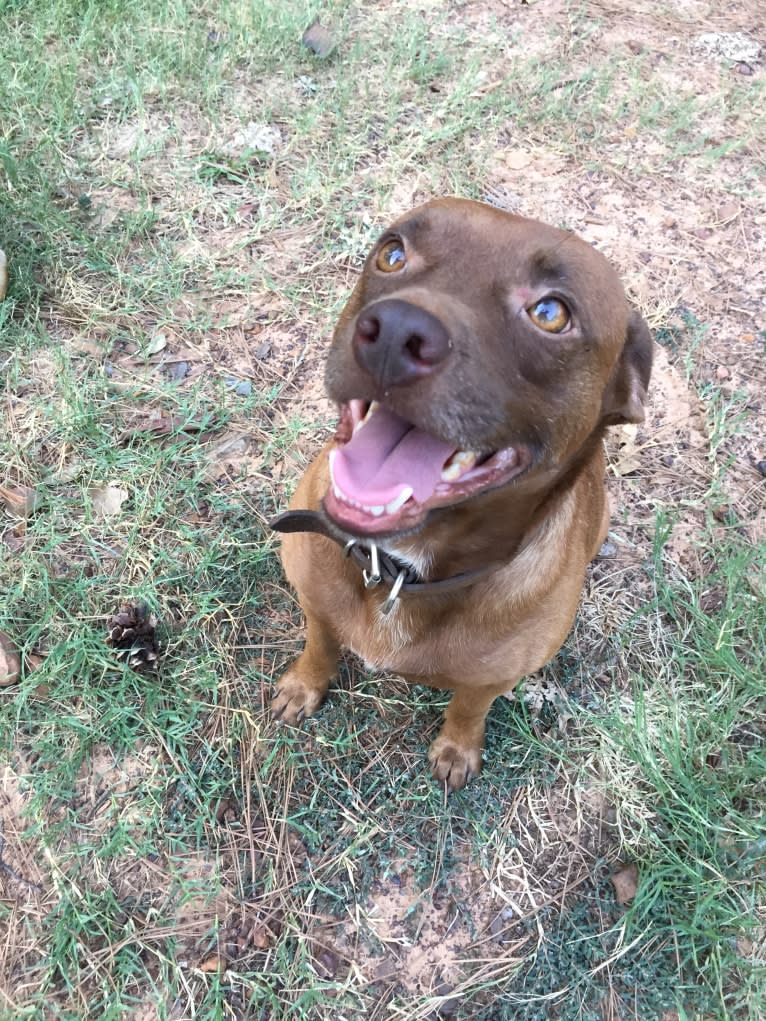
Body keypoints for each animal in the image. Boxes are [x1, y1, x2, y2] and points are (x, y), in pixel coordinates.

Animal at [269, 197, 653, 788]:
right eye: (392, 253)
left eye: (551, 313)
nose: (395, 332)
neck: (399, 570)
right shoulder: (314, 602)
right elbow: (320, 643)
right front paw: (302, 684)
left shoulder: (493, 678)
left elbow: (469, 707)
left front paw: (457, 750)